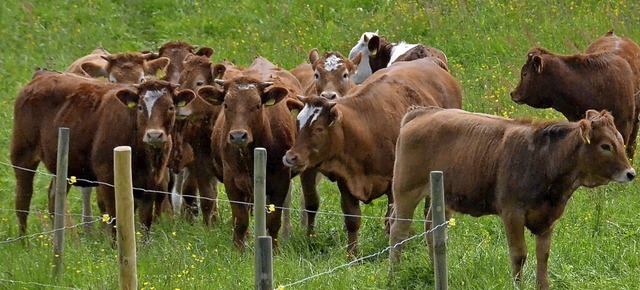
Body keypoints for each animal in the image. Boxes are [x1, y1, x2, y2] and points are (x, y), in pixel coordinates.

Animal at [11, 72, 194, 236]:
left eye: (171, 107)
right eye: (140, 107)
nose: (154, 135)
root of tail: (39, 78)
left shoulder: (151, 183)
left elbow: (145, 222)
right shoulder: (108, 179)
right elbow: (114, 218)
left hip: (62, 163)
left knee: (54, 197)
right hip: (22, 155)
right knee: (23, 200)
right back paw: (23, 242)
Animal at [196, 56, 302, 249]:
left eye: (257, 105)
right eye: (226, 104)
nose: (238, 136)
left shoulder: (281, 181)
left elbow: (273, 220)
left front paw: (274, 250)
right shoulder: (232, 182)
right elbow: (241, 220)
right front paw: (238, 249)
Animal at [282, 57, 462, 256]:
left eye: (319, 129)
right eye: (297, 123)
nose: (290, 157)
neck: (366, 128)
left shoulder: (393, 184)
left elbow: (391, 219)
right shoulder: (346, 180)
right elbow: (352, 219)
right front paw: (352, 253)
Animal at [390, 106, 636, 290]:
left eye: (620, 140)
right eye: (605, 146)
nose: (631, 173)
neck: (544, 160)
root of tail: (423, 112)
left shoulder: (549, 218)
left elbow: (543, 256)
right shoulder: (512, 213)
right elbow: (519, 255)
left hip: (442, 196)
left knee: (432, 231)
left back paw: (436, 272)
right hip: (405, 191)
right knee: (399, 231)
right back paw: (395, 272)